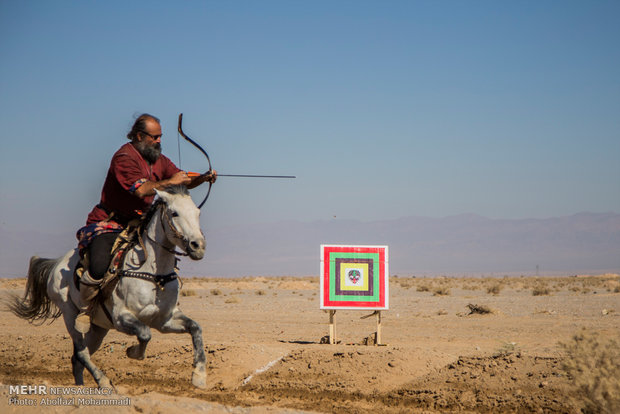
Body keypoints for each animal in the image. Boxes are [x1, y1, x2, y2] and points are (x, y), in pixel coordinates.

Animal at [10, 186, 208, 390]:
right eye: (174, 213)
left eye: (197, 212)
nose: (198, 246)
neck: (153, 275)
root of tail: (57, 264)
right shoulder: (121, 318)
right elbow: (145, 334)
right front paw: (132, 352)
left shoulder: (164, 320)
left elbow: (195, 328)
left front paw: (199, 376)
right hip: (69, 314)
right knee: (81, 352)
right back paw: (103, 381)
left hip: (99, 328)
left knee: (77, 359)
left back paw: (81, 387)